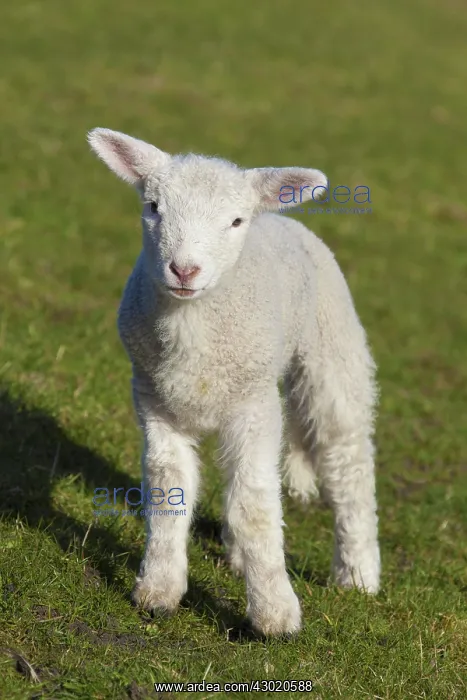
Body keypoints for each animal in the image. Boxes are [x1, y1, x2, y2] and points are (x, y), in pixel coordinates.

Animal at [87, 128, 380, 637]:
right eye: (153, 206)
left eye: (236, 221)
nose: (184, 270)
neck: (193, 329)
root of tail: (279, 217)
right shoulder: (154, 402)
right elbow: (168, 492)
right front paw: (159, 591)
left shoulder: (255, 406)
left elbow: (255, 508)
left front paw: (275, 615)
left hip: (331, 349)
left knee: (348, 459)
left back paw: (358, 573)